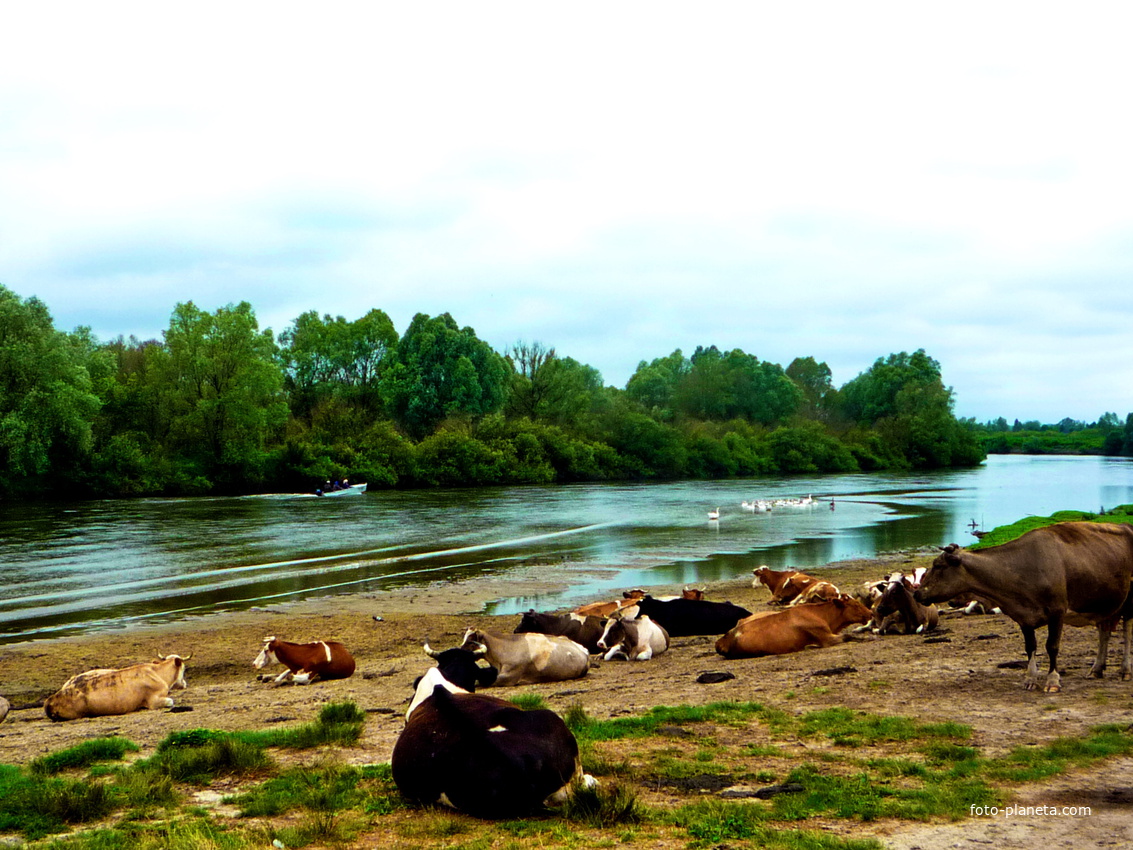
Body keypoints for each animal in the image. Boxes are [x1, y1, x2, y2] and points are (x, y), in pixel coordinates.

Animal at [42, 657, 190, 720]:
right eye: (184, 669)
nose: (185, 683)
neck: (158, 672)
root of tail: (49, 701)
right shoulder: (153, 701)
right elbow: (170, 701)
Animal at [915, 523, 1133, 693]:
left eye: (938, 566)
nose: (917, 593)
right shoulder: (1023, 616)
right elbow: (1030, 647)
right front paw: (1030, 680)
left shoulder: (1057, 611)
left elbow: (1052, 647)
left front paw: (1052, 681)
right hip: (1107, 603)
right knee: (1104, 632)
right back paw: (1096, 669)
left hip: (1129, 600)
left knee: (1127, 631)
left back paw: (1125, 670)